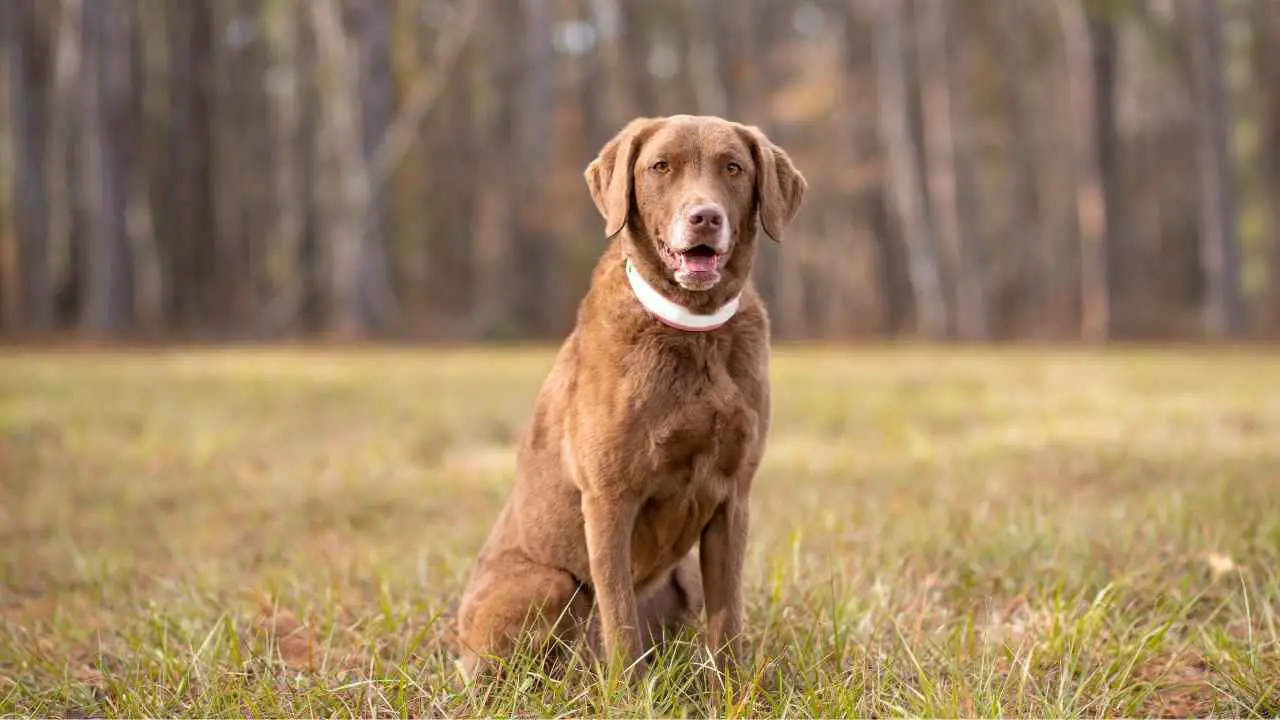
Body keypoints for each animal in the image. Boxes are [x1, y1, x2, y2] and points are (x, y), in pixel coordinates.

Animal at [455, 113, 803, 681]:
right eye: (660, 167)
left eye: (733, 167)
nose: (704, 217)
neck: (694, 333)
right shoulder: (609, 498)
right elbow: (618, 617)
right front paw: (628, 691)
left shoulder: (734, 497)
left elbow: (727, 617)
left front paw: (731, 690)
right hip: (548, 584)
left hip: (682, 578)